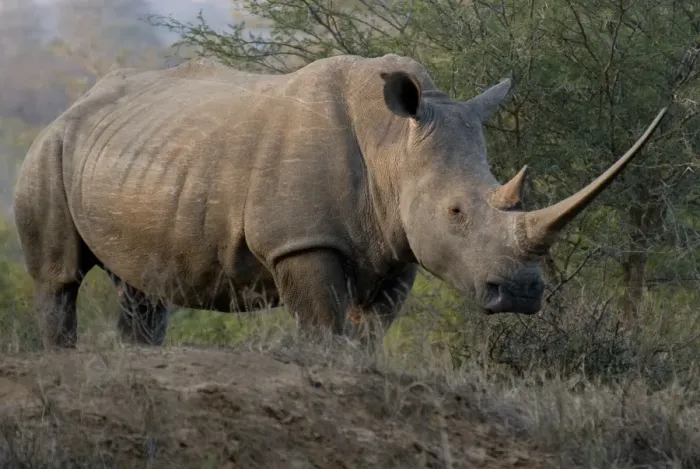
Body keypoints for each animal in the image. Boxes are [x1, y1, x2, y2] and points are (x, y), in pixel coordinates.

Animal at [13, 54, 666, 349]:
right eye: (456, 212)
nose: (525, 294)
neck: (393, 145)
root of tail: (74, 105)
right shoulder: (303, 243)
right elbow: (324, 327)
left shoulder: (397, 245)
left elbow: (369, 333)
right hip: (49, 149)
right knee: (59, 278)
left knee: (141, 288)